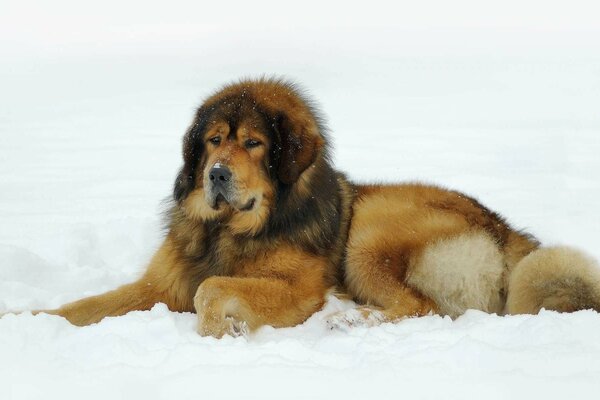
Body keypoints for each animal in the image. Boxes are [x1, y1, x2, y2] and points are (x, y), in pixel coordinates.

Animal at [10, 76, 600, 336]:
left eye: (253, 144)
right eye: (213, 141)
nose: (216, 174)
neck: (229, 230)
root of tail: (507, 233)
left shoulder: (295, 289)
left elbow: (211, 288)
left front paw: (220, 331)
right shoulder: (159, 285)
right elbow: (81, 307)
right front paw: (22, 319)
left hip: (371, 231)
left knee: (421, 308)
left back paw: (348, 317)